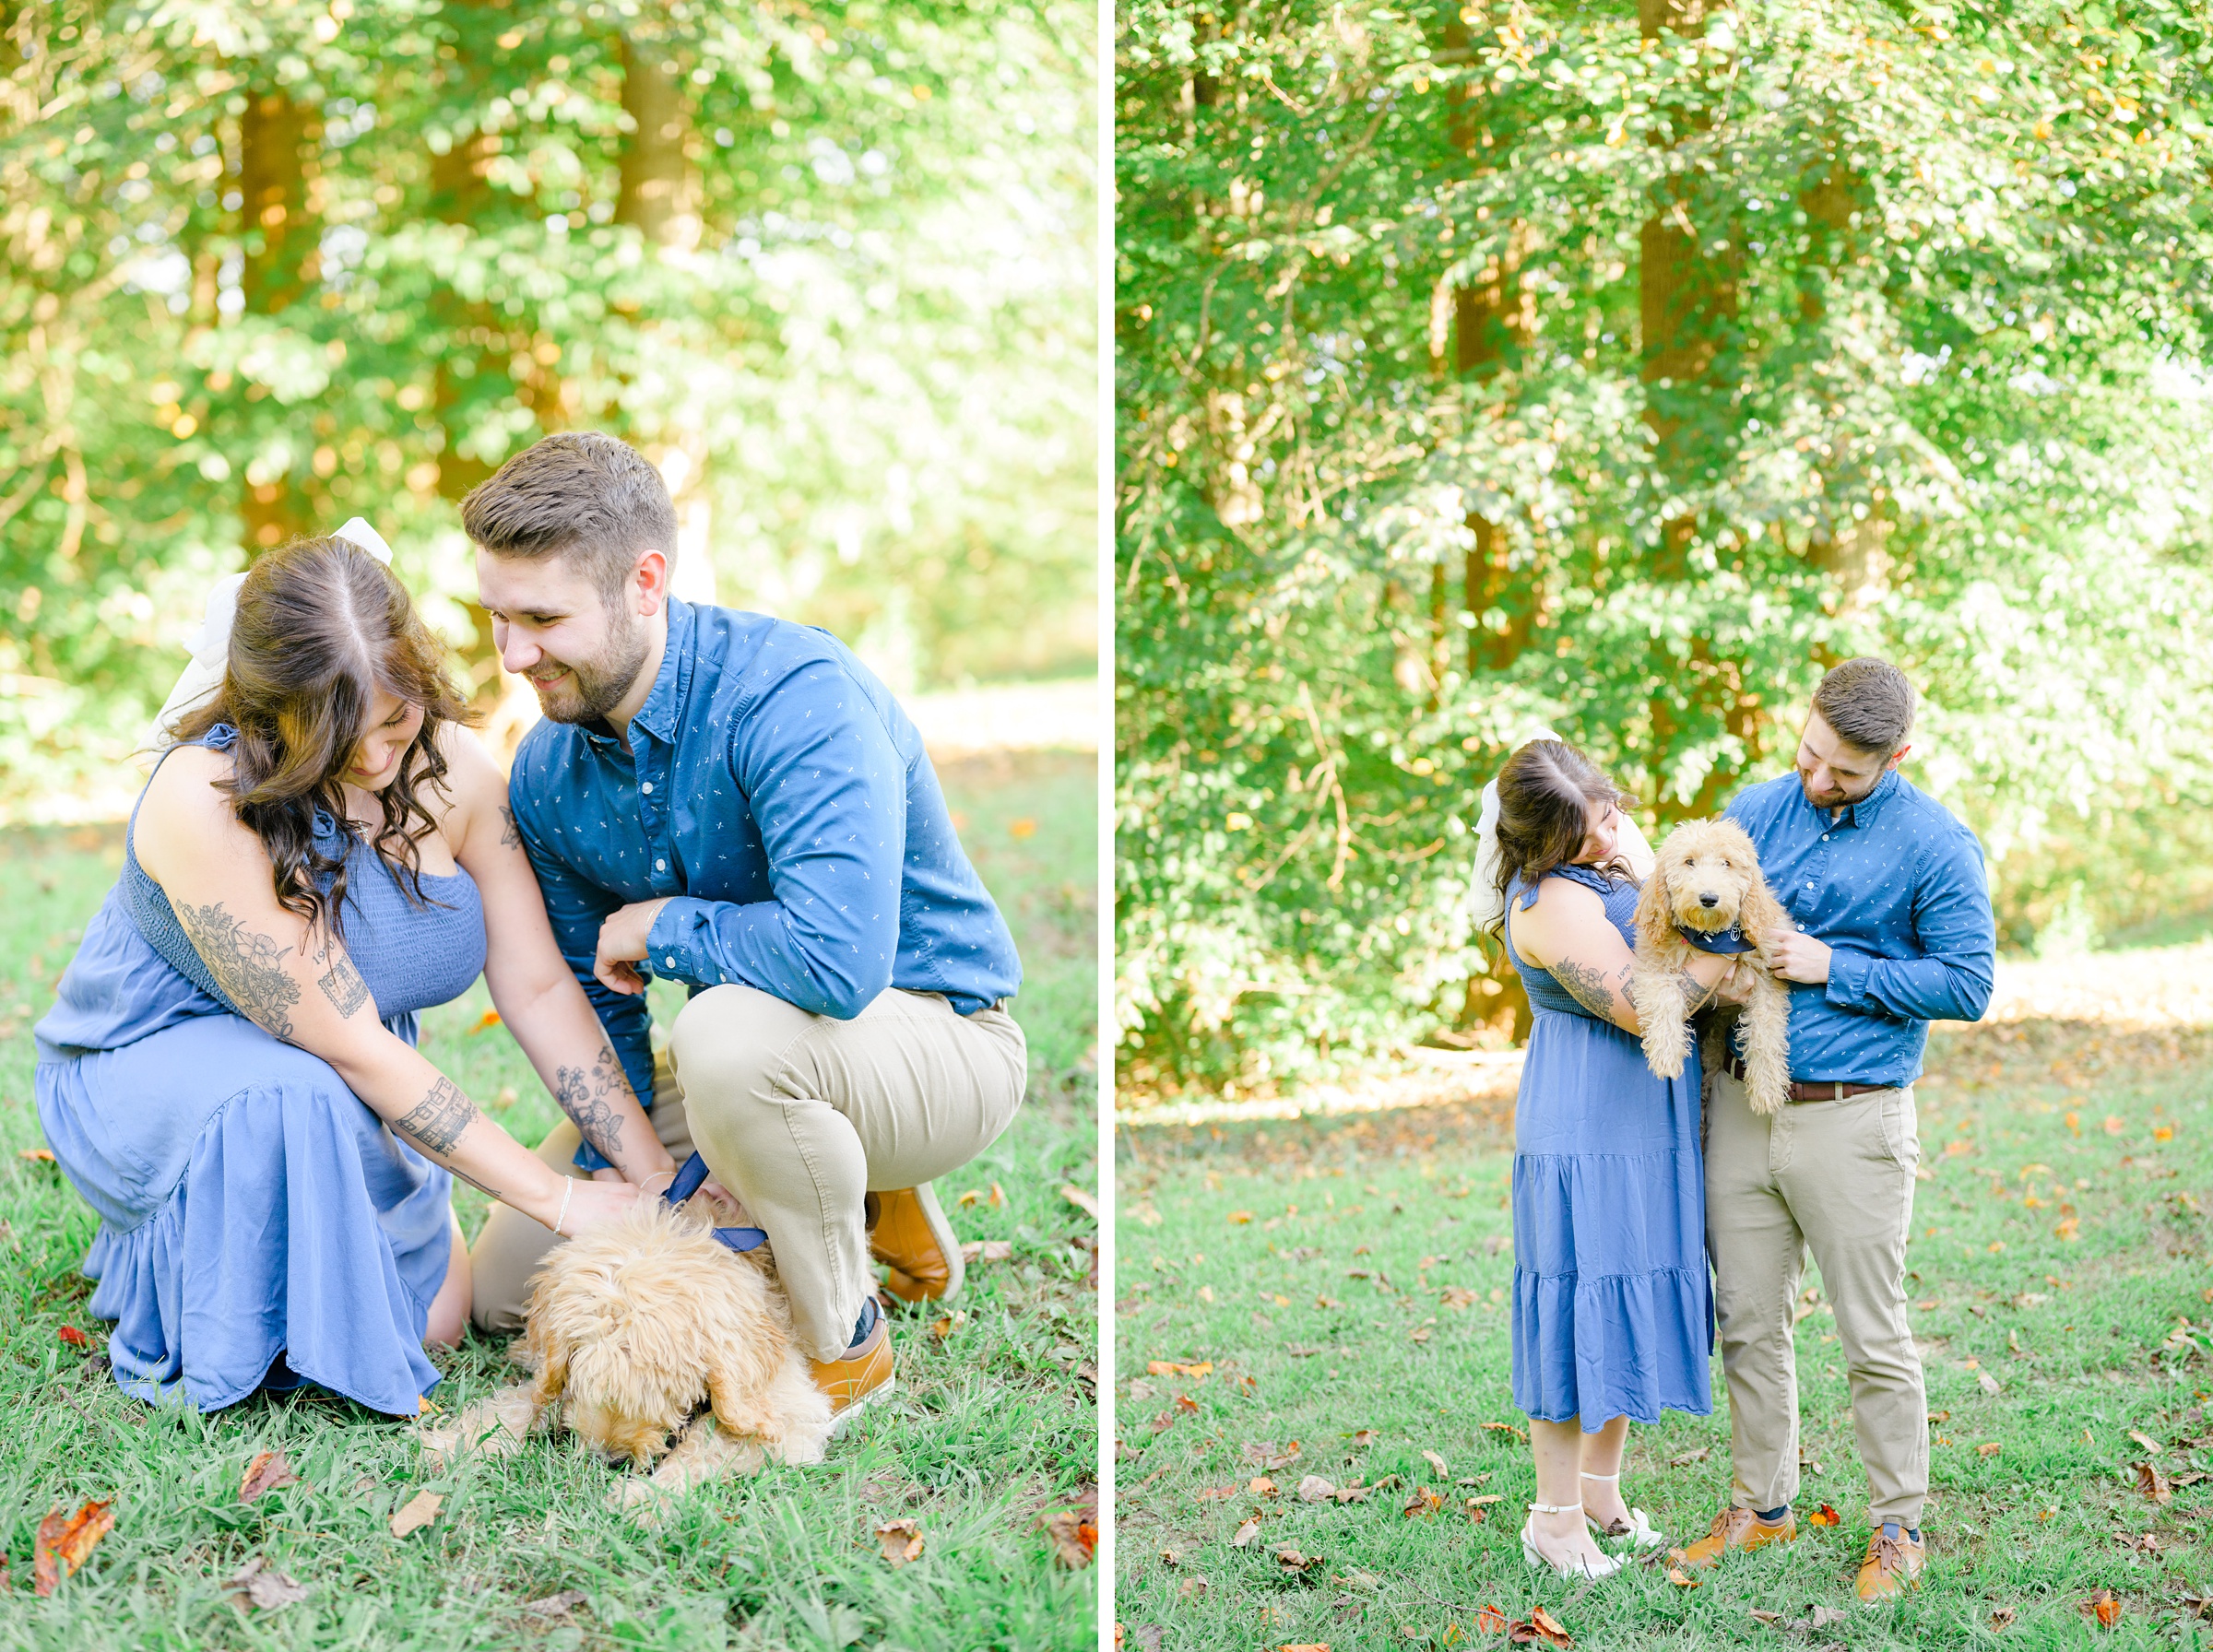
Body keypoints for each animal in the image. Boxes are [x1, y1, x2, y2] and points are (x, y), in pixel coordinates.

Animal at [416, 1194, 832, 1504]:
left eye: (670, 1394)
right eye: (583, 1378)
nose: (607, 1461)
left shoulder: (785, 1413)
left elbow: (705, 1445)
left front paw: (644, 1499)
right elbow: (527, 1401)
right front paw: (453, 1445)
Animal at [1628, 818, 1796, 1118]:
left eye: (1727, 863)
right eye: (1689, 862)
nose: (1708, 898)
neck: (1709, 936)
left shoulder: (1767, 980)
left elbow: (1765, 1031)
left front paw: (1767, 1088)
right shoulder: (1652, 968)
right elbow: (1665, 999)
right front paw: (1667, 1054)